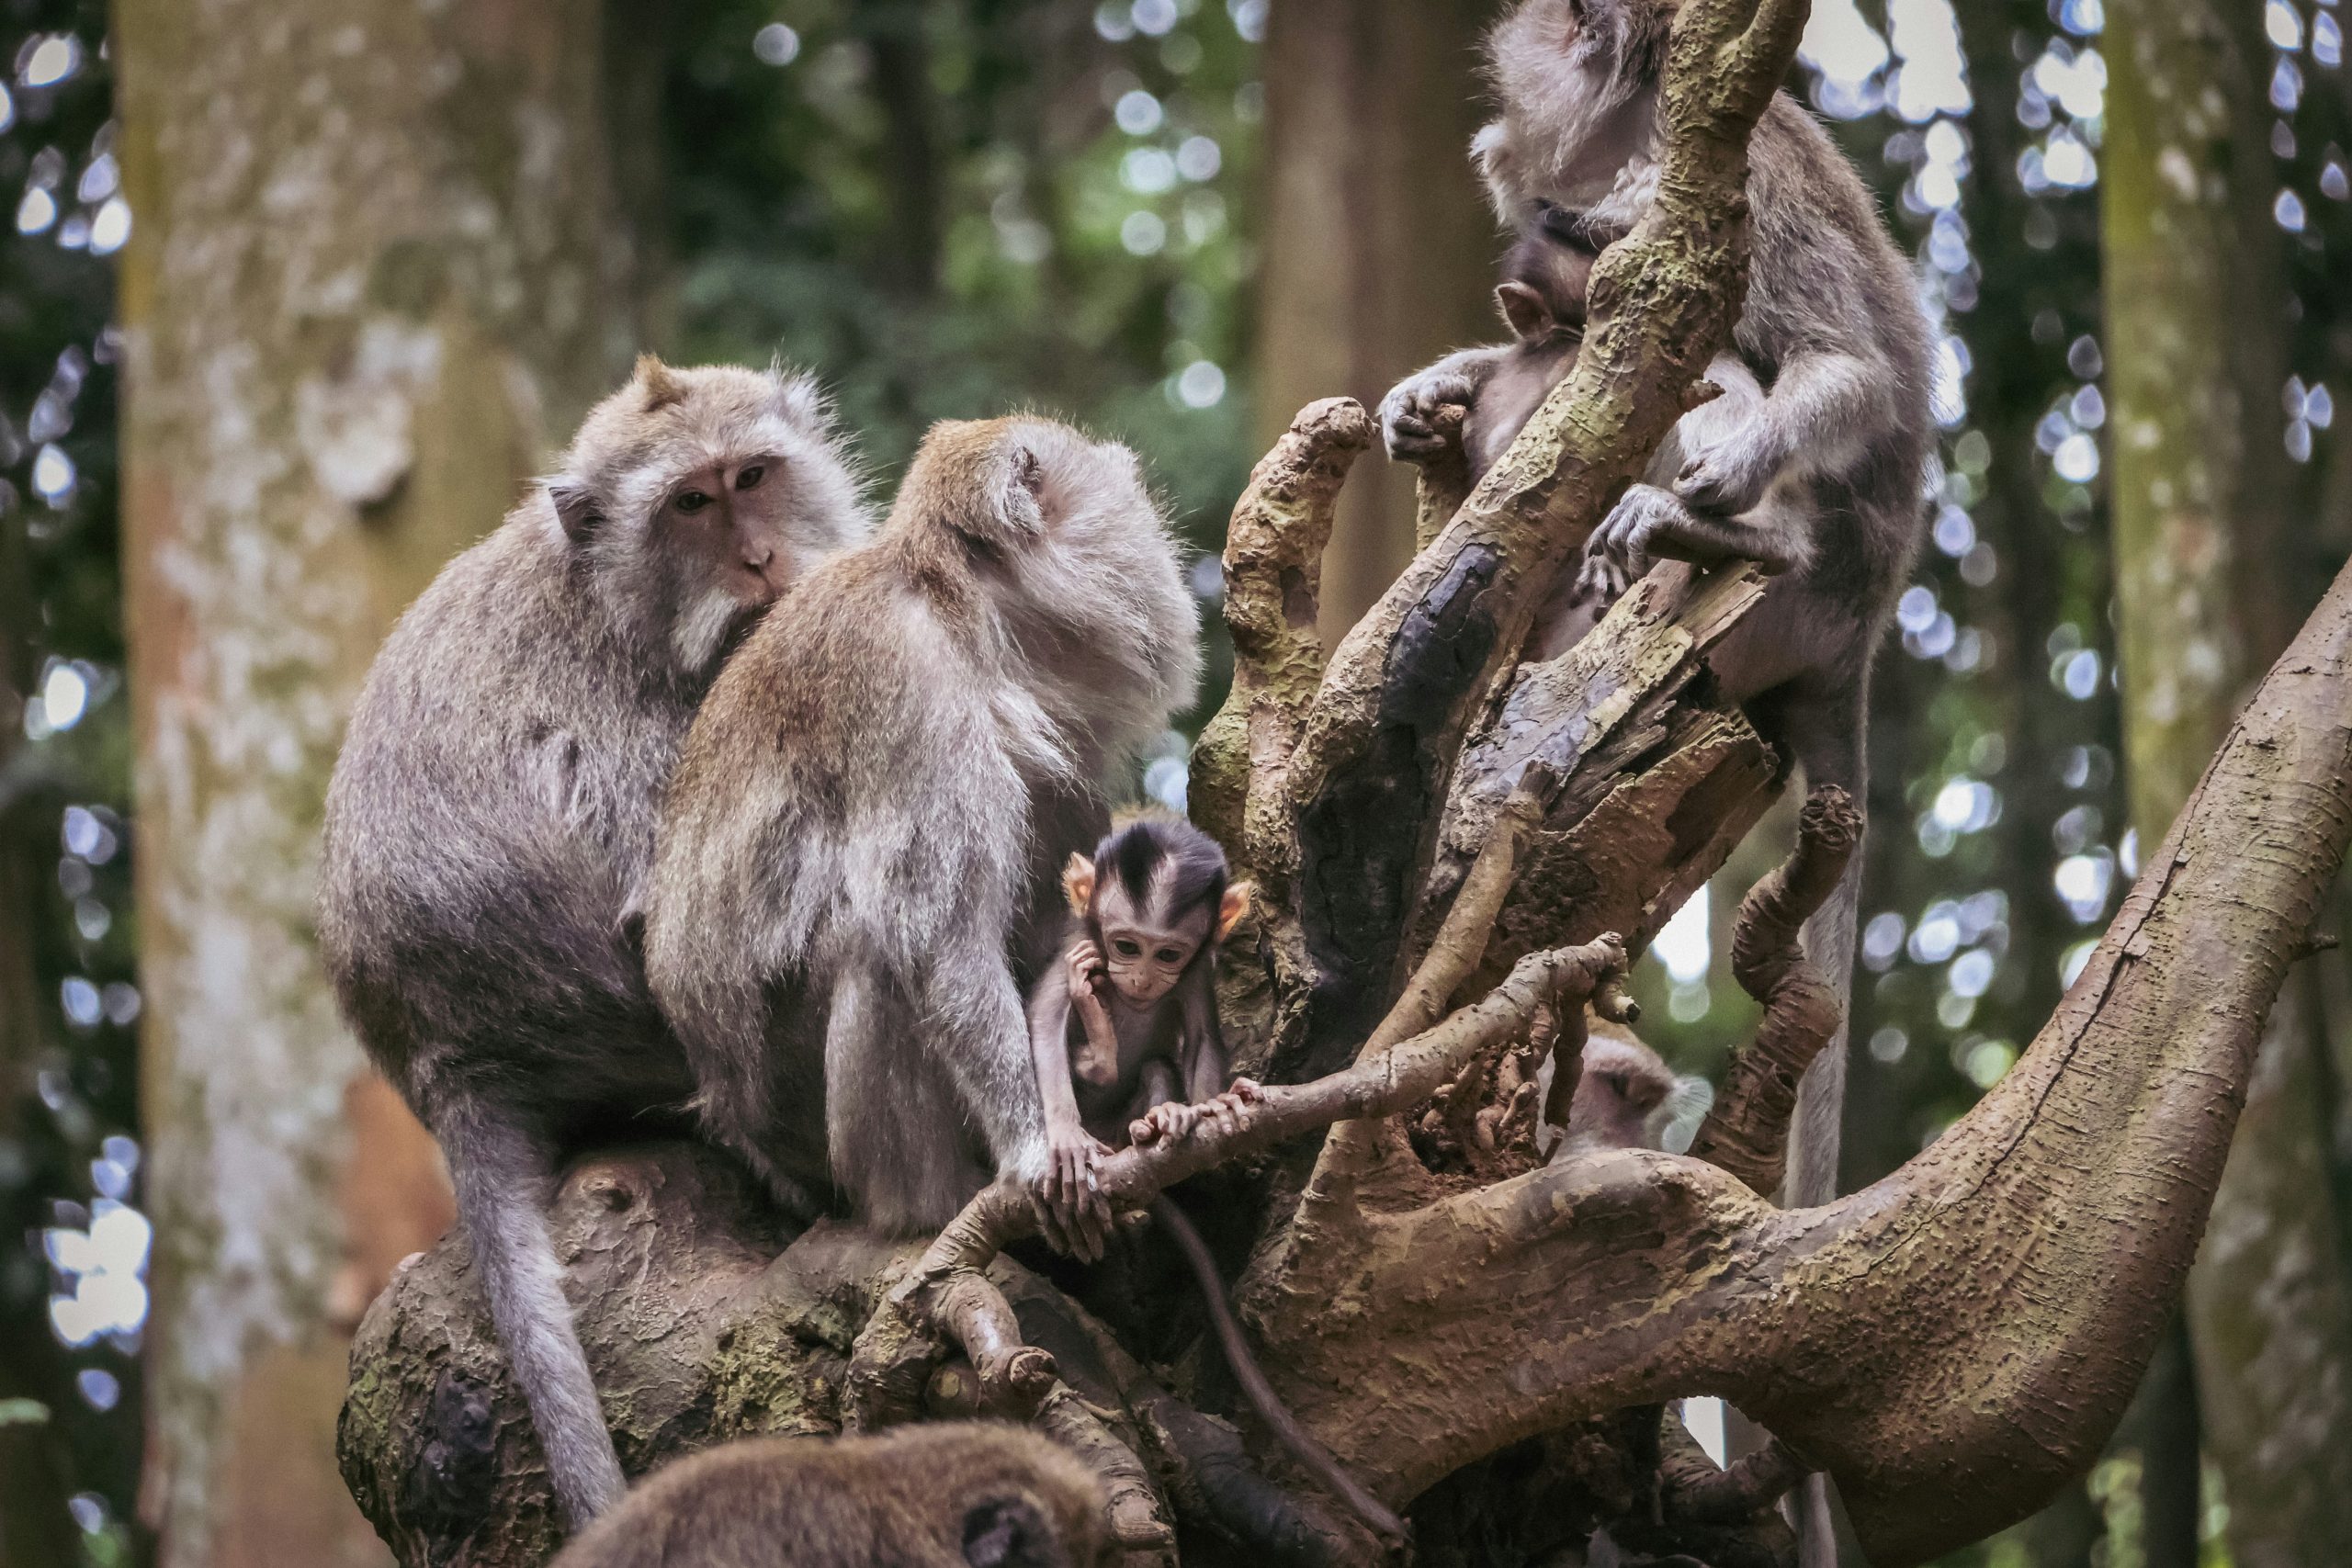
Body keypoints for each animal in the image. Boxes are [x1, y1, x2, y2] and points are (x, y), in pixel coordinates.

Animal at [312, 359, 865, 1532]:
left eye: (752, 478)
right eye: (690, 505)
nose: (760, 560)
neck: (623, 606)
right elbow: (674, 918)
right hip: (603, 1021)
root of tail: (446, 1065)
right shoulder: (654, 713)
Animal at [644, 413, 1194, 1241]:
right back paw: (924, 1202)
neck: (967, 616)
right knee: (871, 946)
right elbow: (937, 941)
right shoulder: (909, 688)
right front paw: (1038, 1143)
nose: (1154, 531)